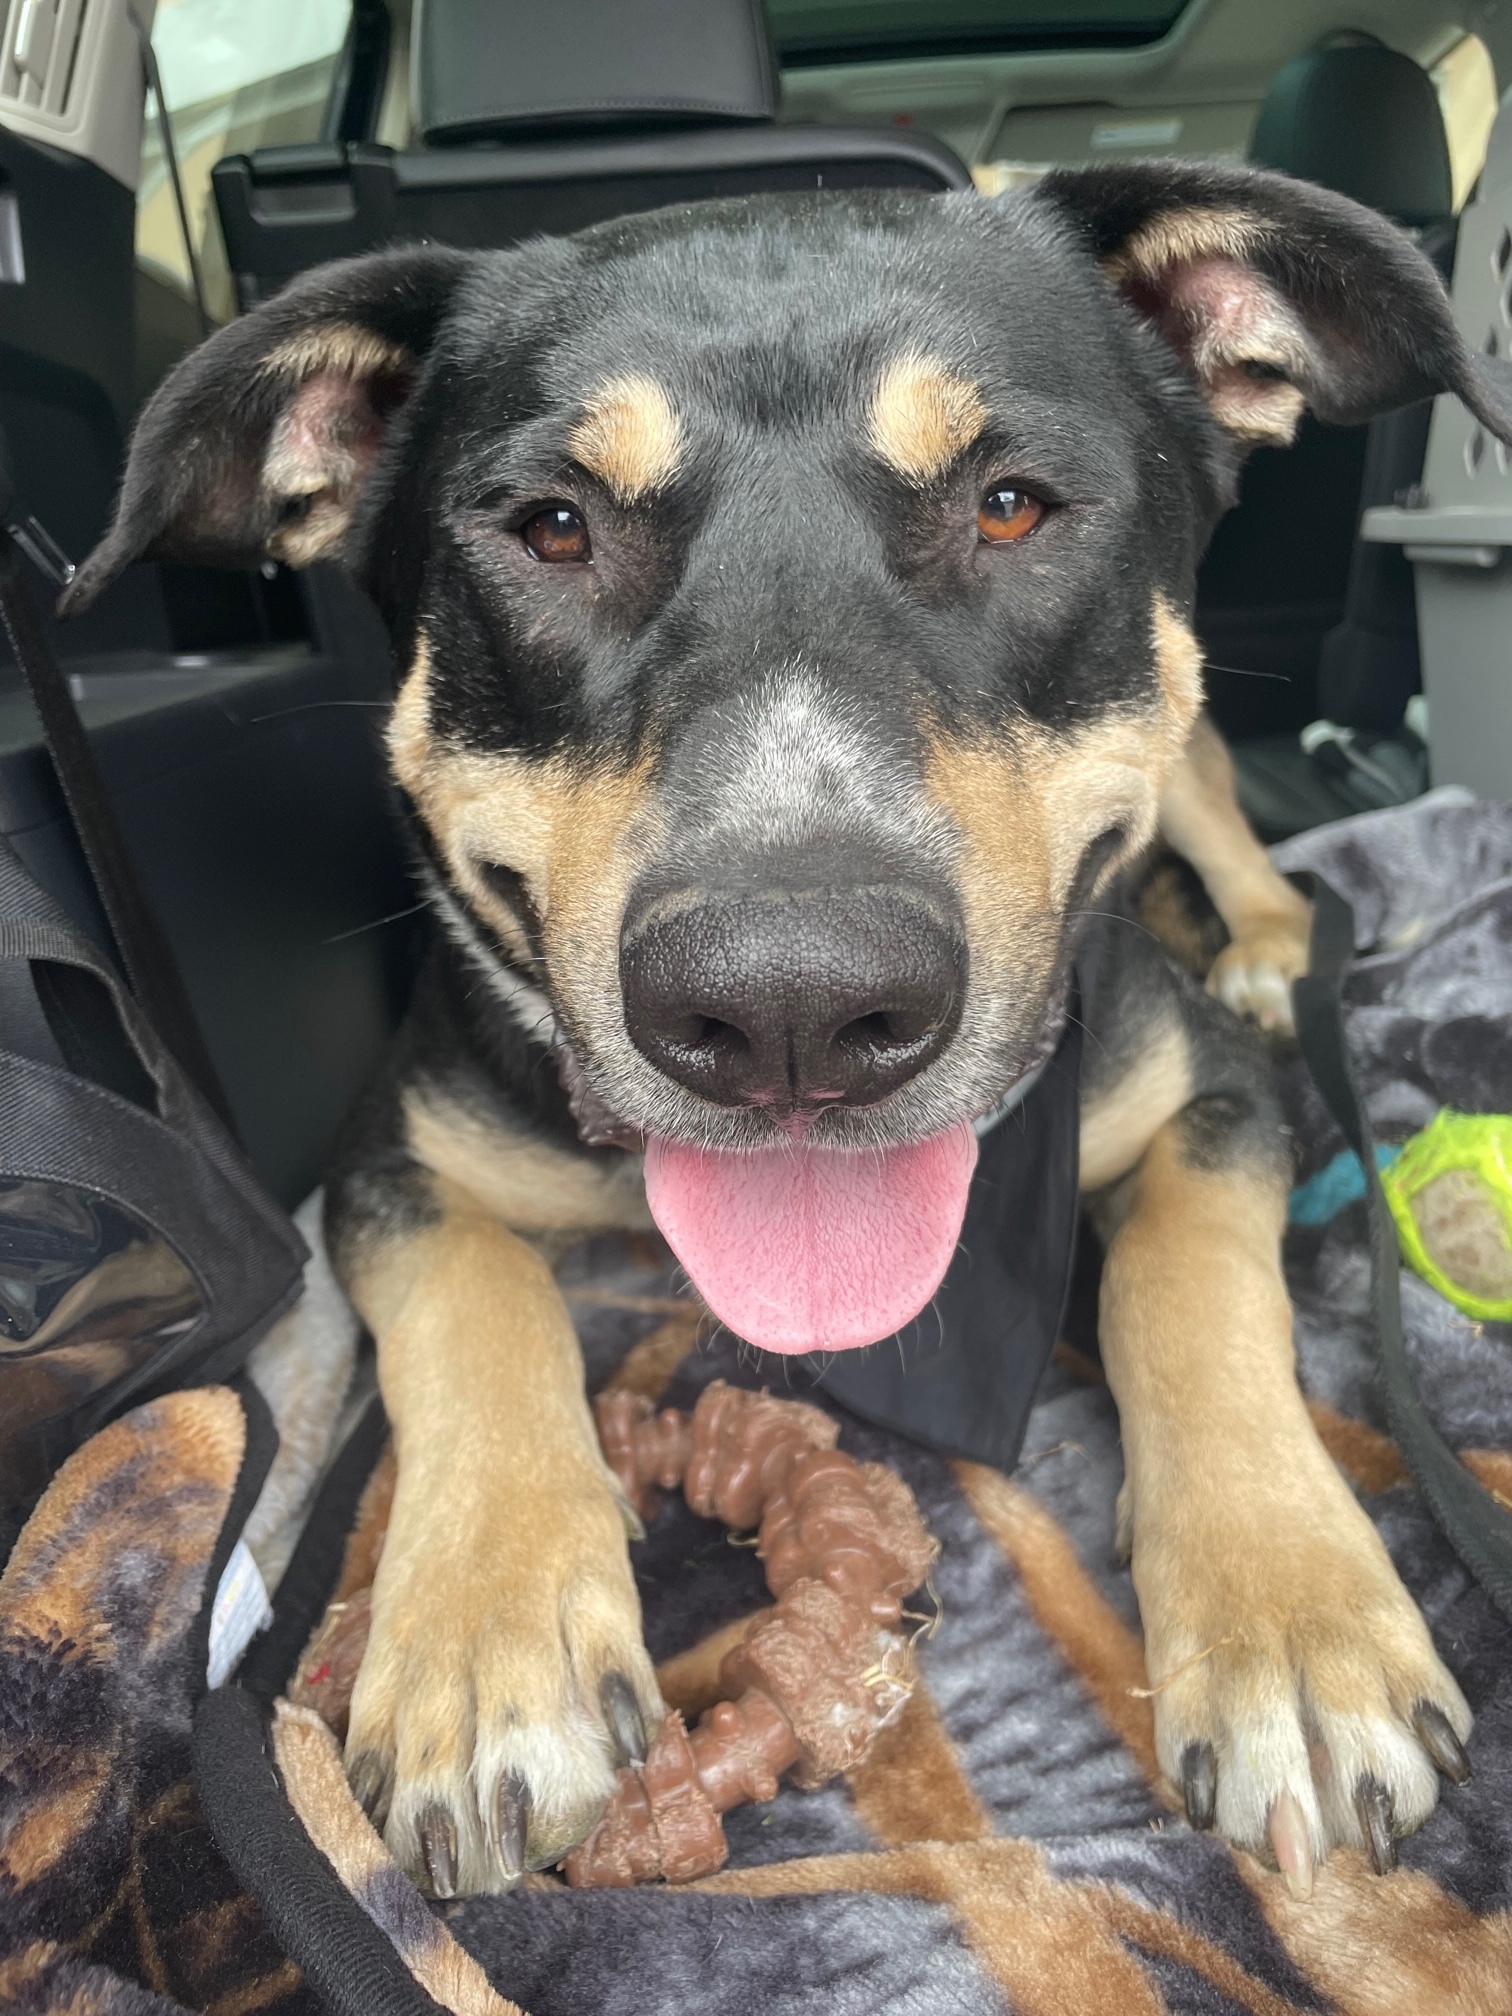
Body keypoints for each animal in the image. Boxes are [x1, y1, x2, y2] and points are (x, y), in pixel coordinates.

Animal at [74, 161, 1512, 1903]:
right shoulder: (389, 1163)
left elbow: (1194, 1293)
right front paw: (489, 1641)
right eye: (551, 528)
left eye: (1011, 503)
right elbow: (477, 1308)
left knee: (1229, 838)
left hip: (1212, 782)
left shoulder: (1215, 1100)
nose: (793, 1007)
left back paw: (1264, 940)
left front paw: (1294, 1621)